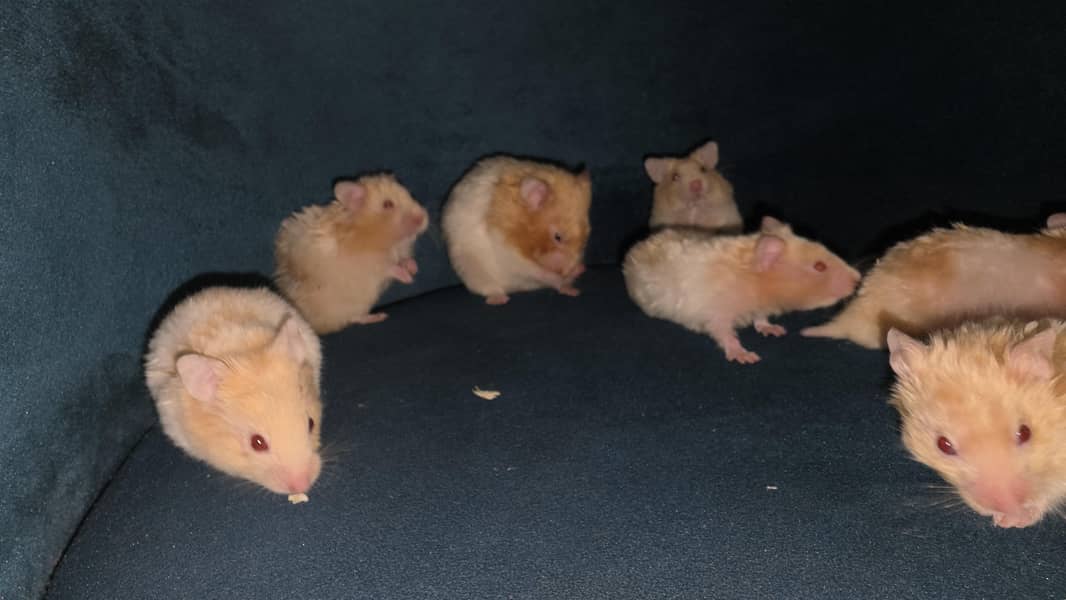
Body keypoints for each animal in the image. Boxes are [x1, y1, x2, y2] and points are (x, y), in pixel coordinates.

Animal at [274, 173, 429, 334]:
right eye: (387, 204)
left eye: (410, 194)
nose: (423, 218)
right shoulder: (372, 264)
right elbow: (390, 268)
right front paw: (408, 279)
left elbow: (404, 260)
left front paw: (413, 268)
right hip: (347, 306)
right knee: (355, 318)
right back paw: (380, 316)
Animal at [442, 156, 591, 305]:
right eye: (557, 237)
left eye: (586, 235)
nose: (568, 270)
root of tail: (515, 289)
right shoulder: (510, 256)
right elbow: (540, 273)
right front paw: (568, 273)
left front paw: (578, 269)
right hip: (473, 272)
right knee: (493, 289)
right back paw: (499, 300)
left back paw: (572, 290)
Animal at [624, 216, 860, 363]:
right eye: (819, 266)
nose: (857, 280)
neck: (753, 281)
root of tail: (633, 247)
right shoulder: (716, 314)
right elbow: (725, 334)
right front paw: (745, 356)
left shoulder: (759, 307)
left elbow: (761, 319)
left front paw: (774, 330)